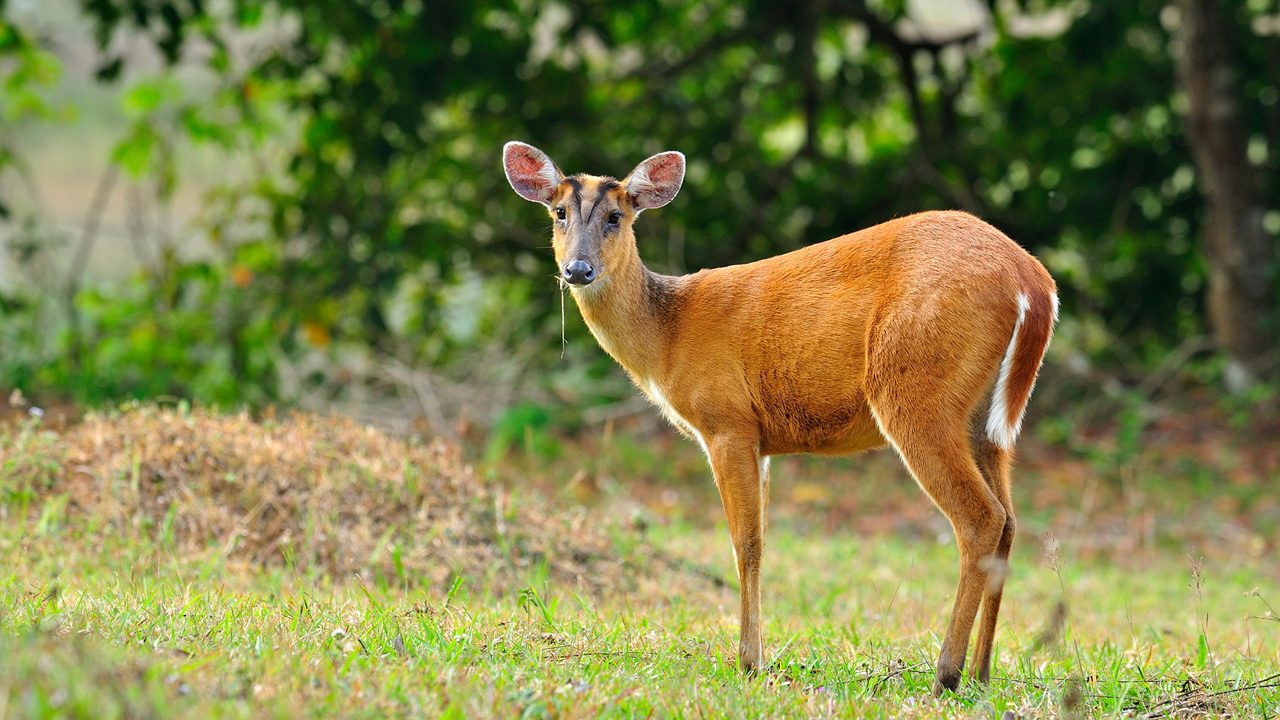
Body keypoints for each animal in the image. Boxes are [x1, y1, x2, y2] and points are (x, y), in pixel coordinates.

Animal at [501, 140, 1059, 691]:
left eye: (616, 216)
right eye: (558, 213)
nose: (578, 270)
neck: (667, 336)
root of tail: (1033, 282)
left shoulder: (726, 421)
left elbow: (745, 543)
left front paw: (749, 662)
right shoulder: (761, 440)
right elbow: (762, 540)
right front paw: (757, 657)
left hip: (915, 390)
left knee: (981, 517)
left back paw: (946, 673)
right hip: (986, 419)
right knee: (1009, 521)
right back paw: (982, 672)